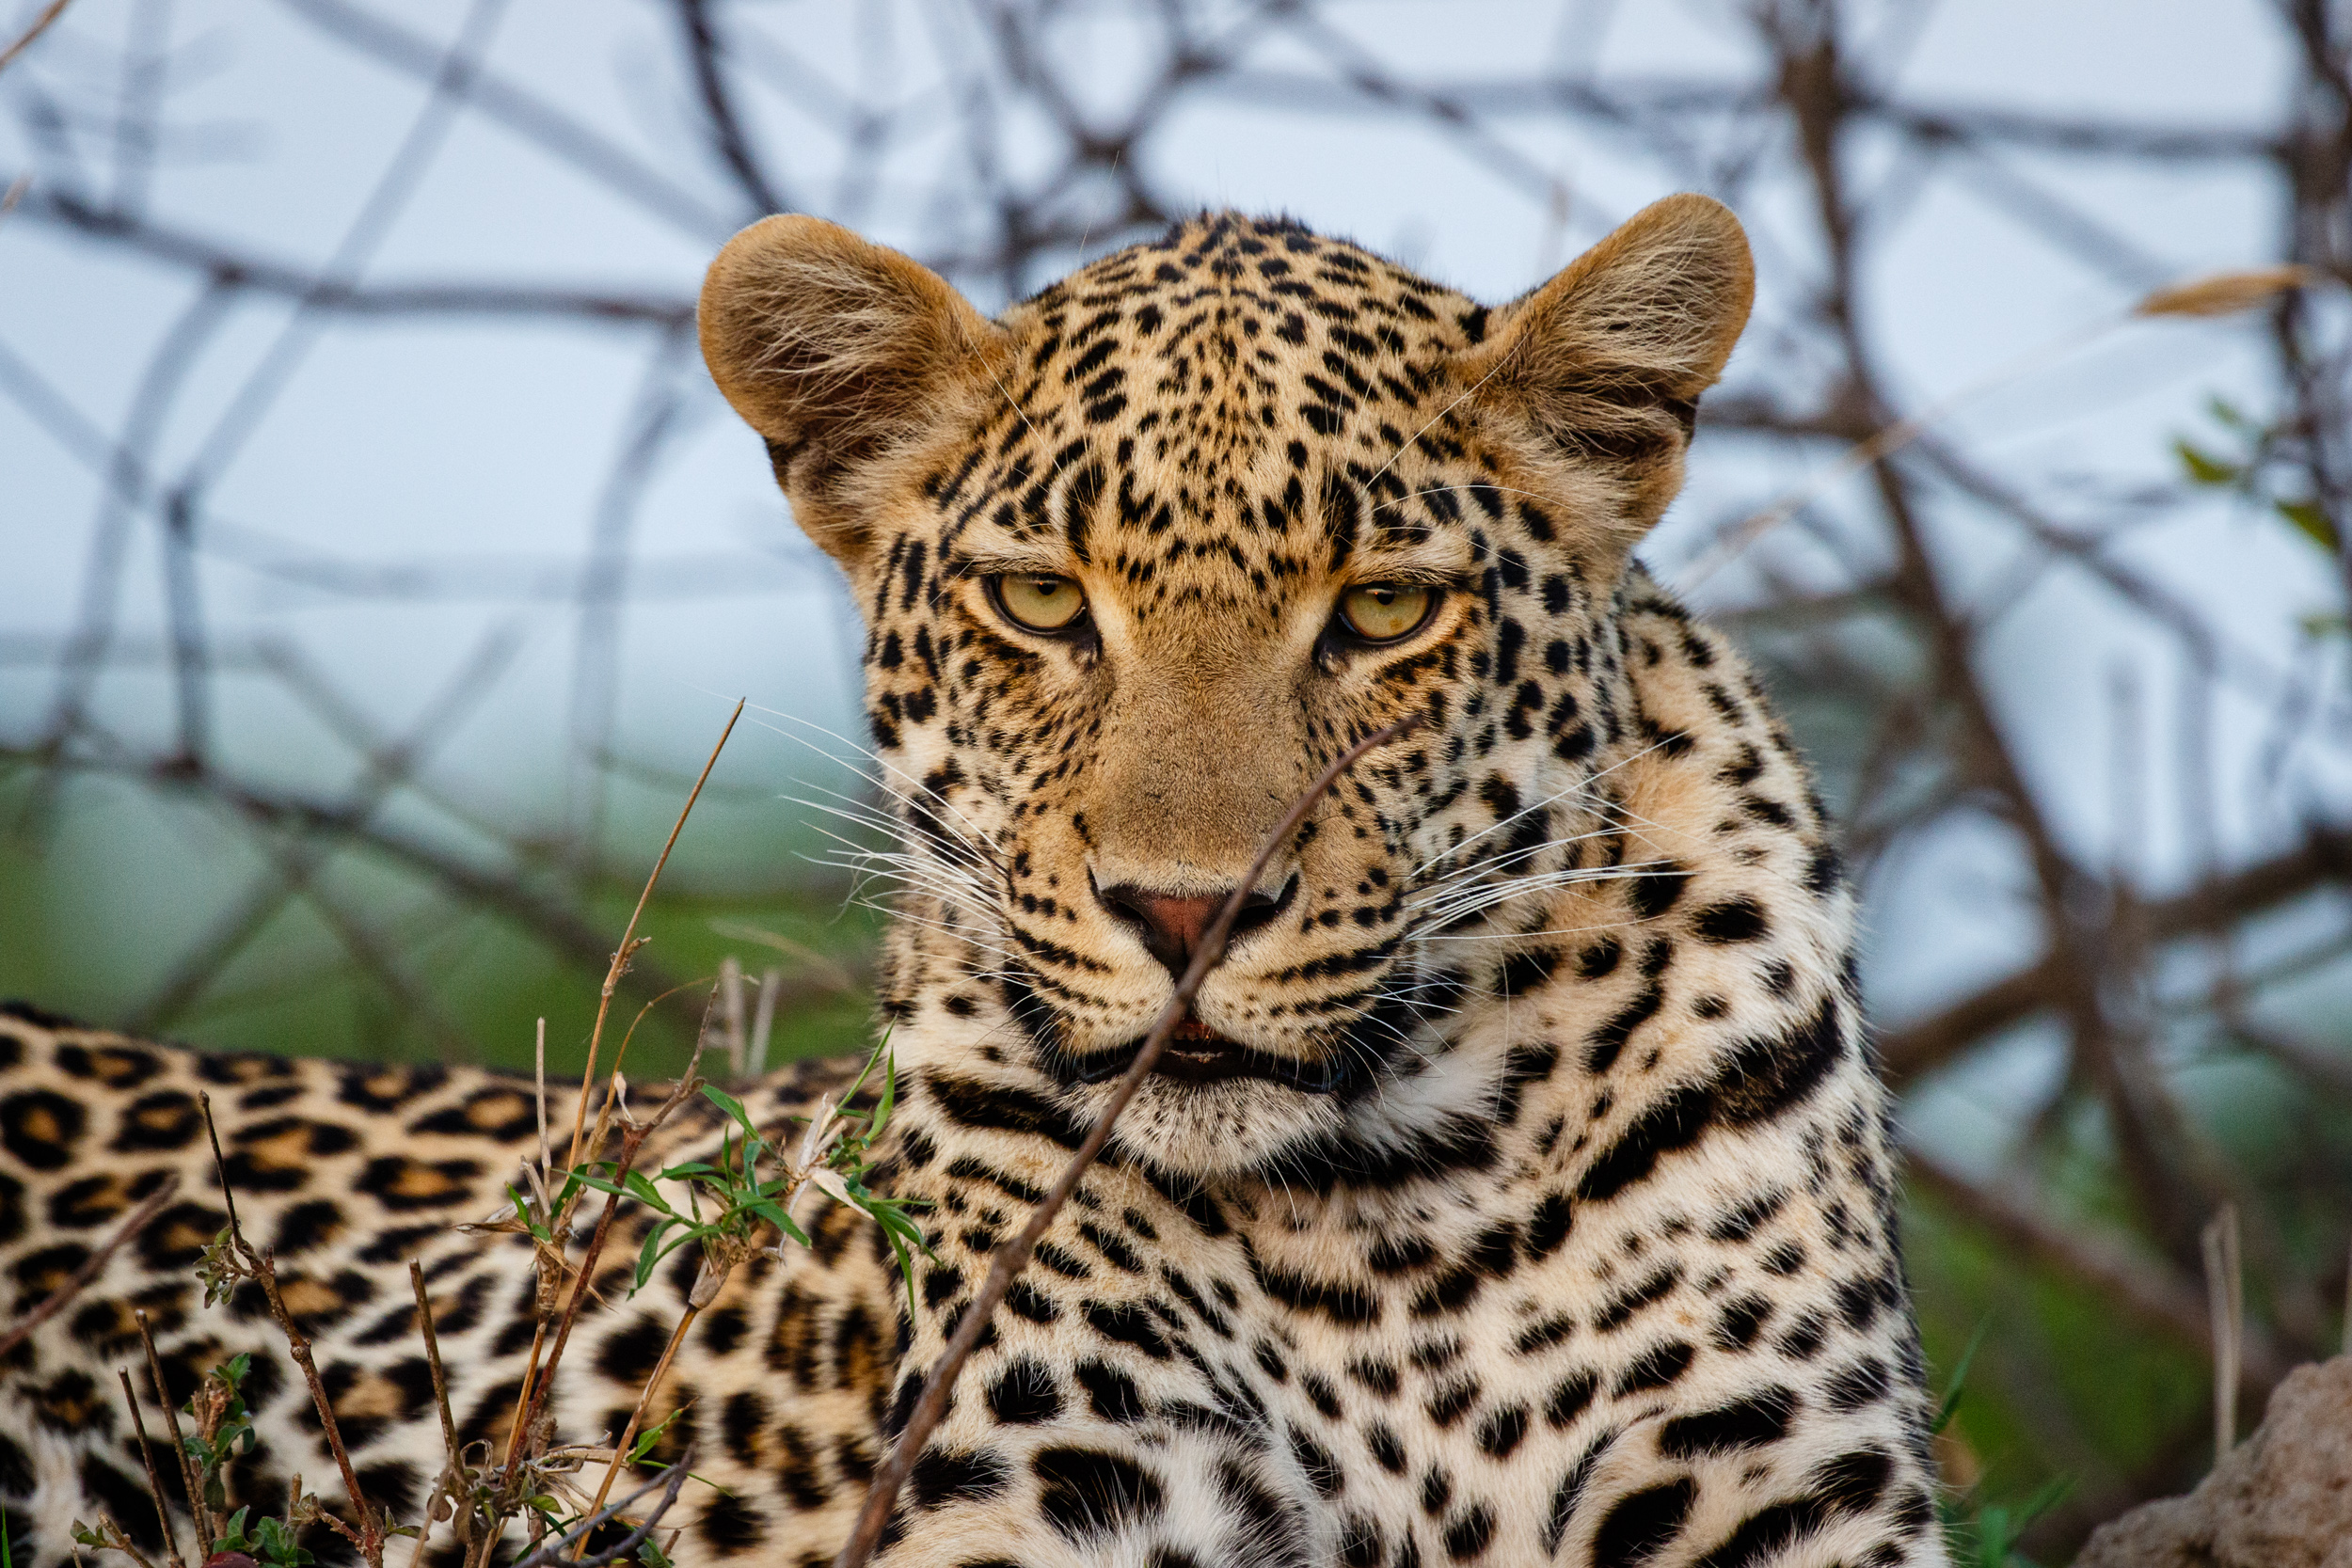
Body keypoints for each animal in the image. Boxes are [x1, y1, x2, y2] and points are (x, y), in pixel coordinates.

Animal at [1, 194, 1950, 1568]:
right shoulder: (1049, 1496)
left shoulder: (1781, 1492)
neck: (1387, 1227)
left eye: (1386, 609)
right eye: (1039, 602)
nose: (1186, 912)